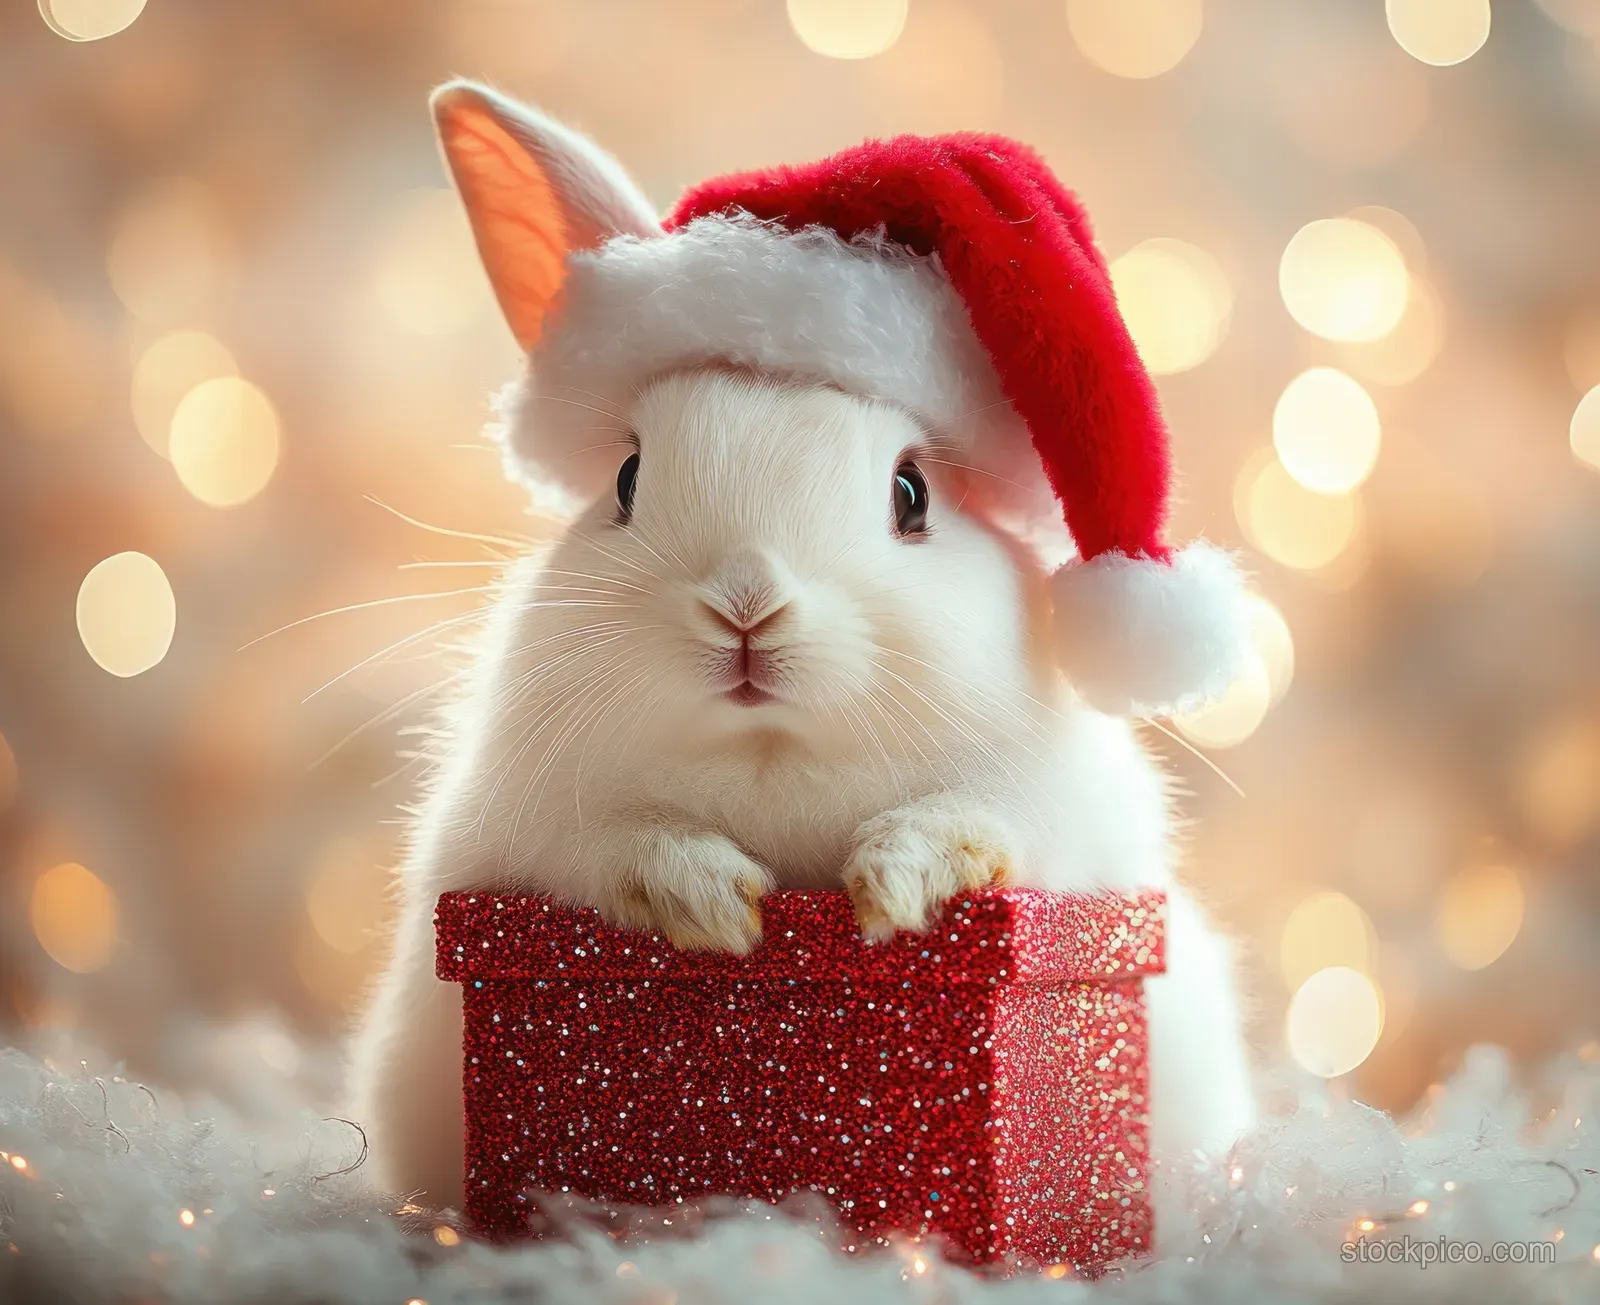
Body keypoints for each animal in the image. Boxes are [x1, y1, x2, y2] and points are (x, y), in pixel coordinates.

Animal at [347, 84, 1256, 1239]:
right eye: (627, 480)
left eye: (912, 493)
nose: (746, 604)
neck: (770, 756)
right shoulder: (511, 837)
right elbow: (609, 846)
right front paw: (713, 903)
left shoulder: (1071, 822)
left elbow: (992, 821)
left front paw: (899, 882)